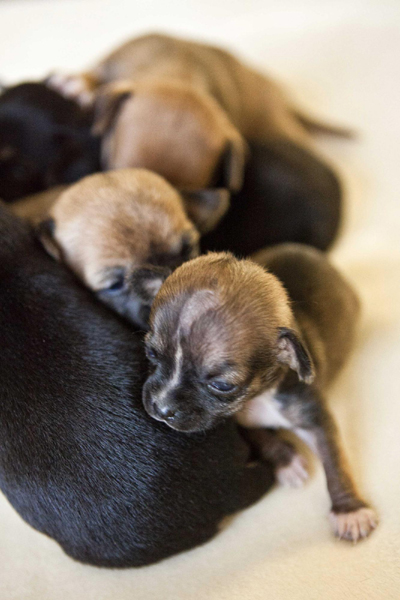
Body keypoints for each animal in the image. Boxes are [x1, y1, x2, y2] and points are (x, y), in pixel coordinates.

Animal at [143, 244, 378, 544]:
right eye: (151, 353)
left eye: (223, 385)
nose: (161, 408)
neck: (262, 395)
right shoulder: (236, 418)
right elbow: (261, 436)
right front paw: (287, 460)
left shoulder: (314, 417)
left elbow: (335, 460)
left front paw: (350, 511)